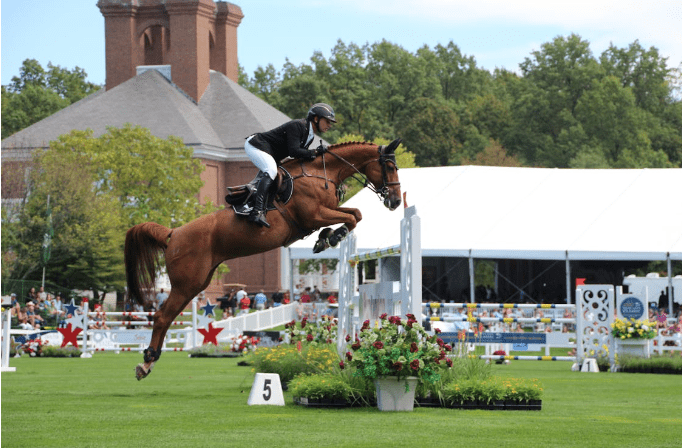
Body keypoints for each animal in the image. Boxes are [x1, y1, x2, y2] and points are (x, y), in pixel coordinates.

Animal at [125, 139, 402, 378]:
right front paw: (333, 237)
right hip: (187, 284)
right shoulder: (314, 215)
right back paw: (145, 363)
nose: (396, 201)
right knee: (162, 317)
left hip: (197, 284)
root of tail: (173, 233)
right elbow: (353, 216)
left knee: (167, 317)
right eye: (389, 167)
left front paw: (325, 238)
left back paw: (149, 360)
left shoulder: (326, 212)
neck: (321, 173)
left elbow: (355, 213)